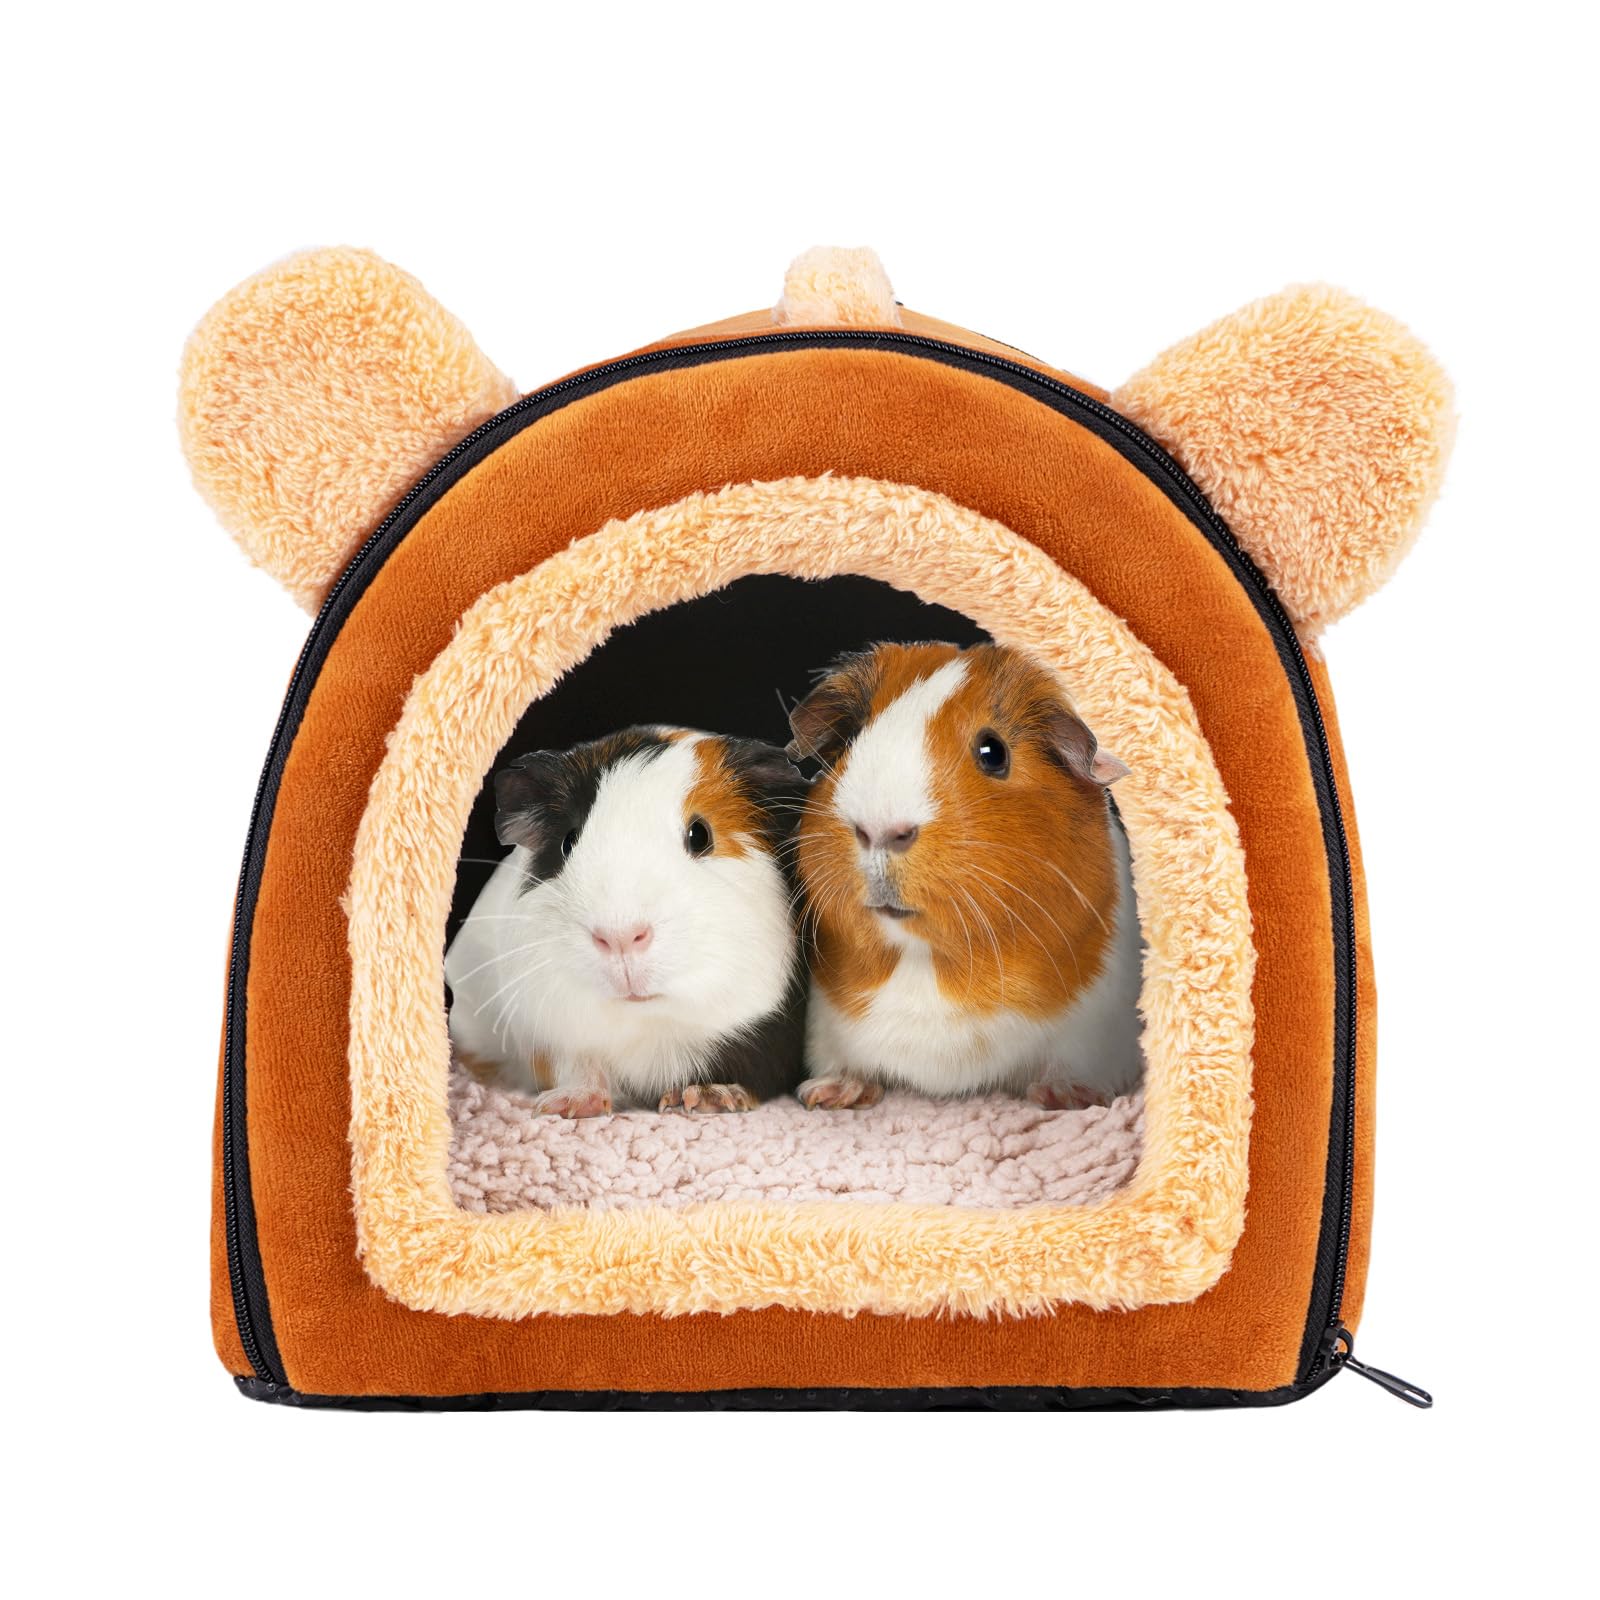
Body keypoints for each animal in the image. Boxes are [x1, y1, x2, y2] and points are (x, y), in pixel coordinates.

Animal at [444, 726, 808, 1117]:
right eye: (568, 841)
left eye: (700, 835)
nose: (619, 936)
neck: (648, 1023)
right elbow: (579, 1064)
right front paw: (568, 1104)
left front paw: (706, 1097)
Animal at [786, 641, 1143, 1111]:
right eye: (851, 740)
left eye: (994, 752)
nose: (878, 830)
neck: (928, 962)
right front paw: (826, 1094)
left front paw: (1072, 1097)